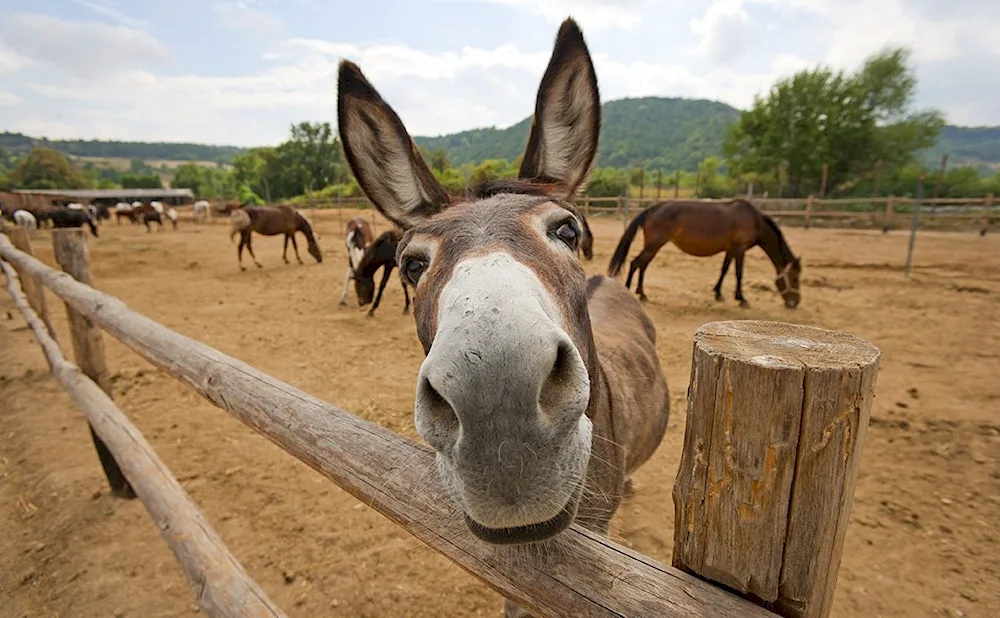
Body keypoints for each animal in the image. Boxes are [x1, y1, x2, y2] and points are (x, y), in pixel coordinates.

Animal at [604, 200, 800, 308]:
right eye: (795, 278)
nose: (795, 302)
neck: (753, 219)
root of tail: (652, 209)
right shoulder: (739, 249)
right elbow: (739, 273)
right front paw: (742, 299)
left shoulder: (730, 250)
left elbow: (724, 270)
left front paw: (718, 293)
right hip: (654, 245)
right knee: (635, 264)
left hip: (654, 246)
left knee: (642, 265)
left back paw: (642, 294)